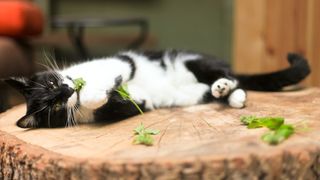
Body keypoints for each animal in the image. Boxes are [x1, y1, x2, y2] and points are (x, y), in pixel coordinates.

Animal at [5, 49, 310, 128]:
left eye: (53, 82)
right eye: (54, 106)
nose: (68, 93)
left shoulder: (120, 61)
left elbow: (113, 72)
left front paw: (93, 90)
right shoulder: (132, 104)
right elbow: (122, 103)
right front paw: (98, 96)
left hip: (195, 61)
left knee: (230, 76)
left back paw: (226, 86)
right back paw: (229, 96)